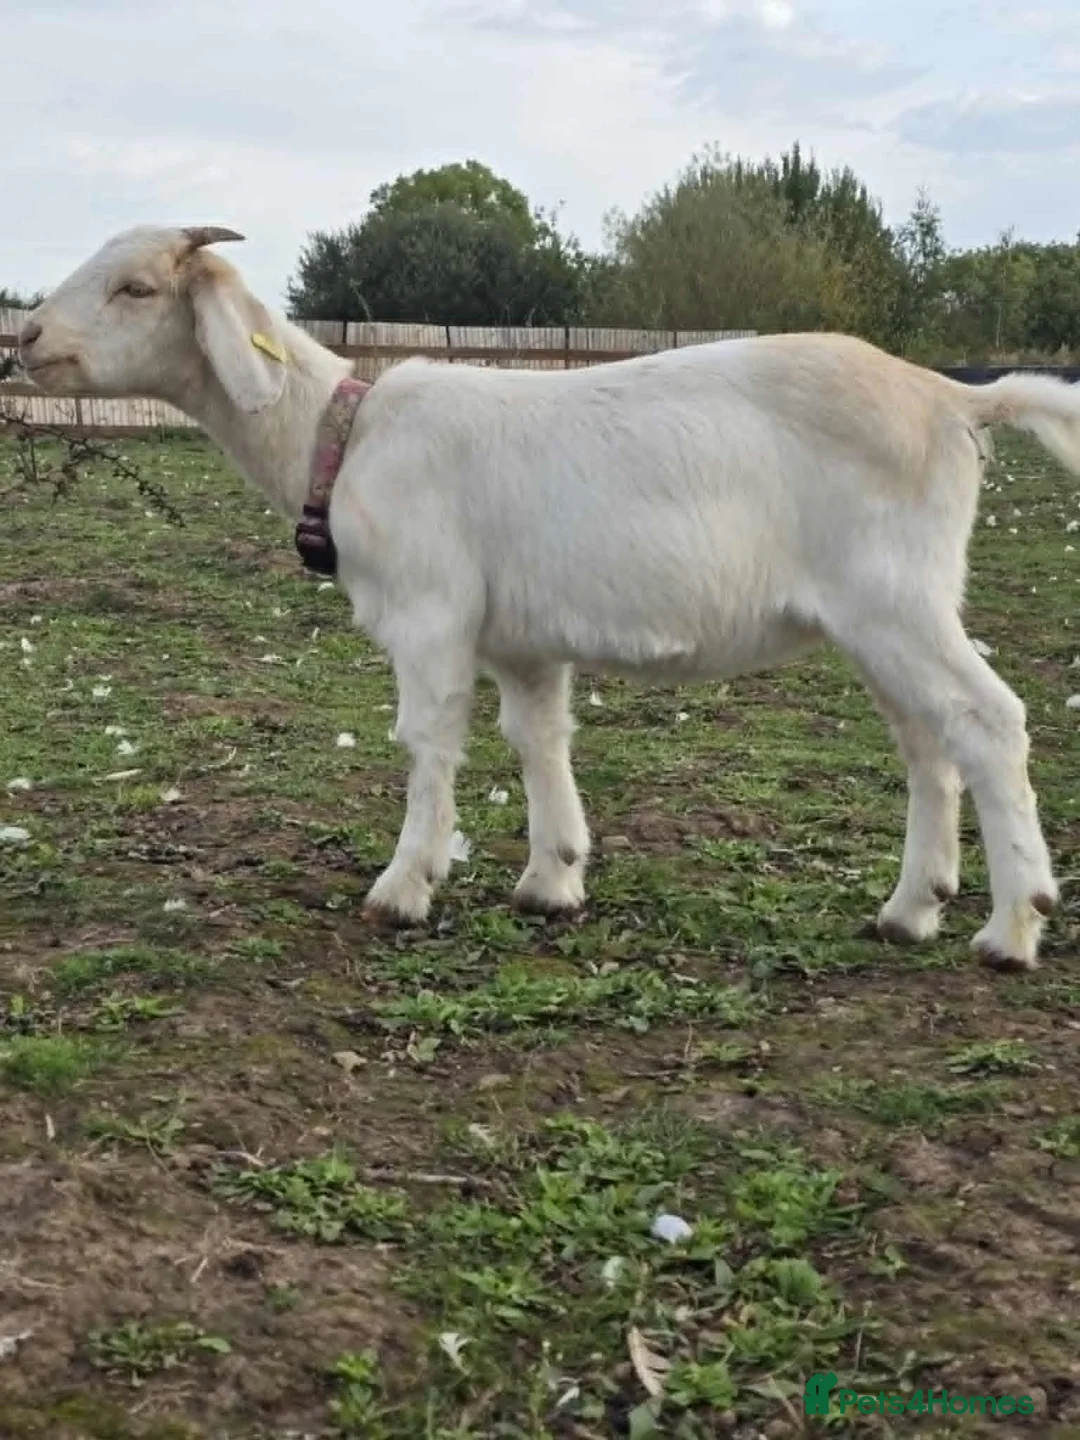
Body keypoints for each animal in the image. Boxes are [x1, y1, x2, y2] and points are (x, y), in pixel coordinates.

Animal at [19, 225, 1078, 969]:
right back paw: (909, 910)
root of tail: (954, 398)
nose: (26, 336)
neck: (344, 436)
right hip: (881, 618)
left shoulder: (431, 612)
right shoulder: (520, 638)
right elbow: (537, 738)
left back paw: (1012, 927)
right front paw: (550, 879)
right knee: (927, 743)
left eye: (137, 287)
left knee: (990, 720)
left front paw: (404, 885)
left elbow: (428, 740)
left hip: (897, 600)